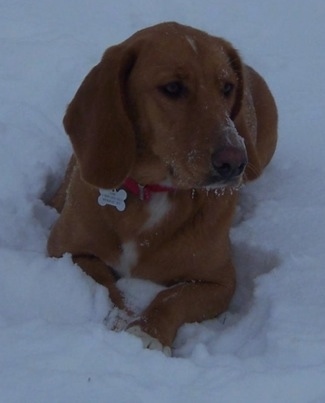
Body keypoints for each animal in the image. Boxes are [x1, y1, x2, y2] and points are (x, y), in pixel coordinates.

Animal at [47, 22, 276, 356]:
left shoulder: (219, 282)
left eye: (227, 87)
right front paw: (123, 317)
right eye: (172, 88)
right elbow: (106, 283)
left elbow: (172, 298)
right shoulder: (65, 252)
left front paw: (148, 331)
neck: (153, 190)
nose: (236, 162)